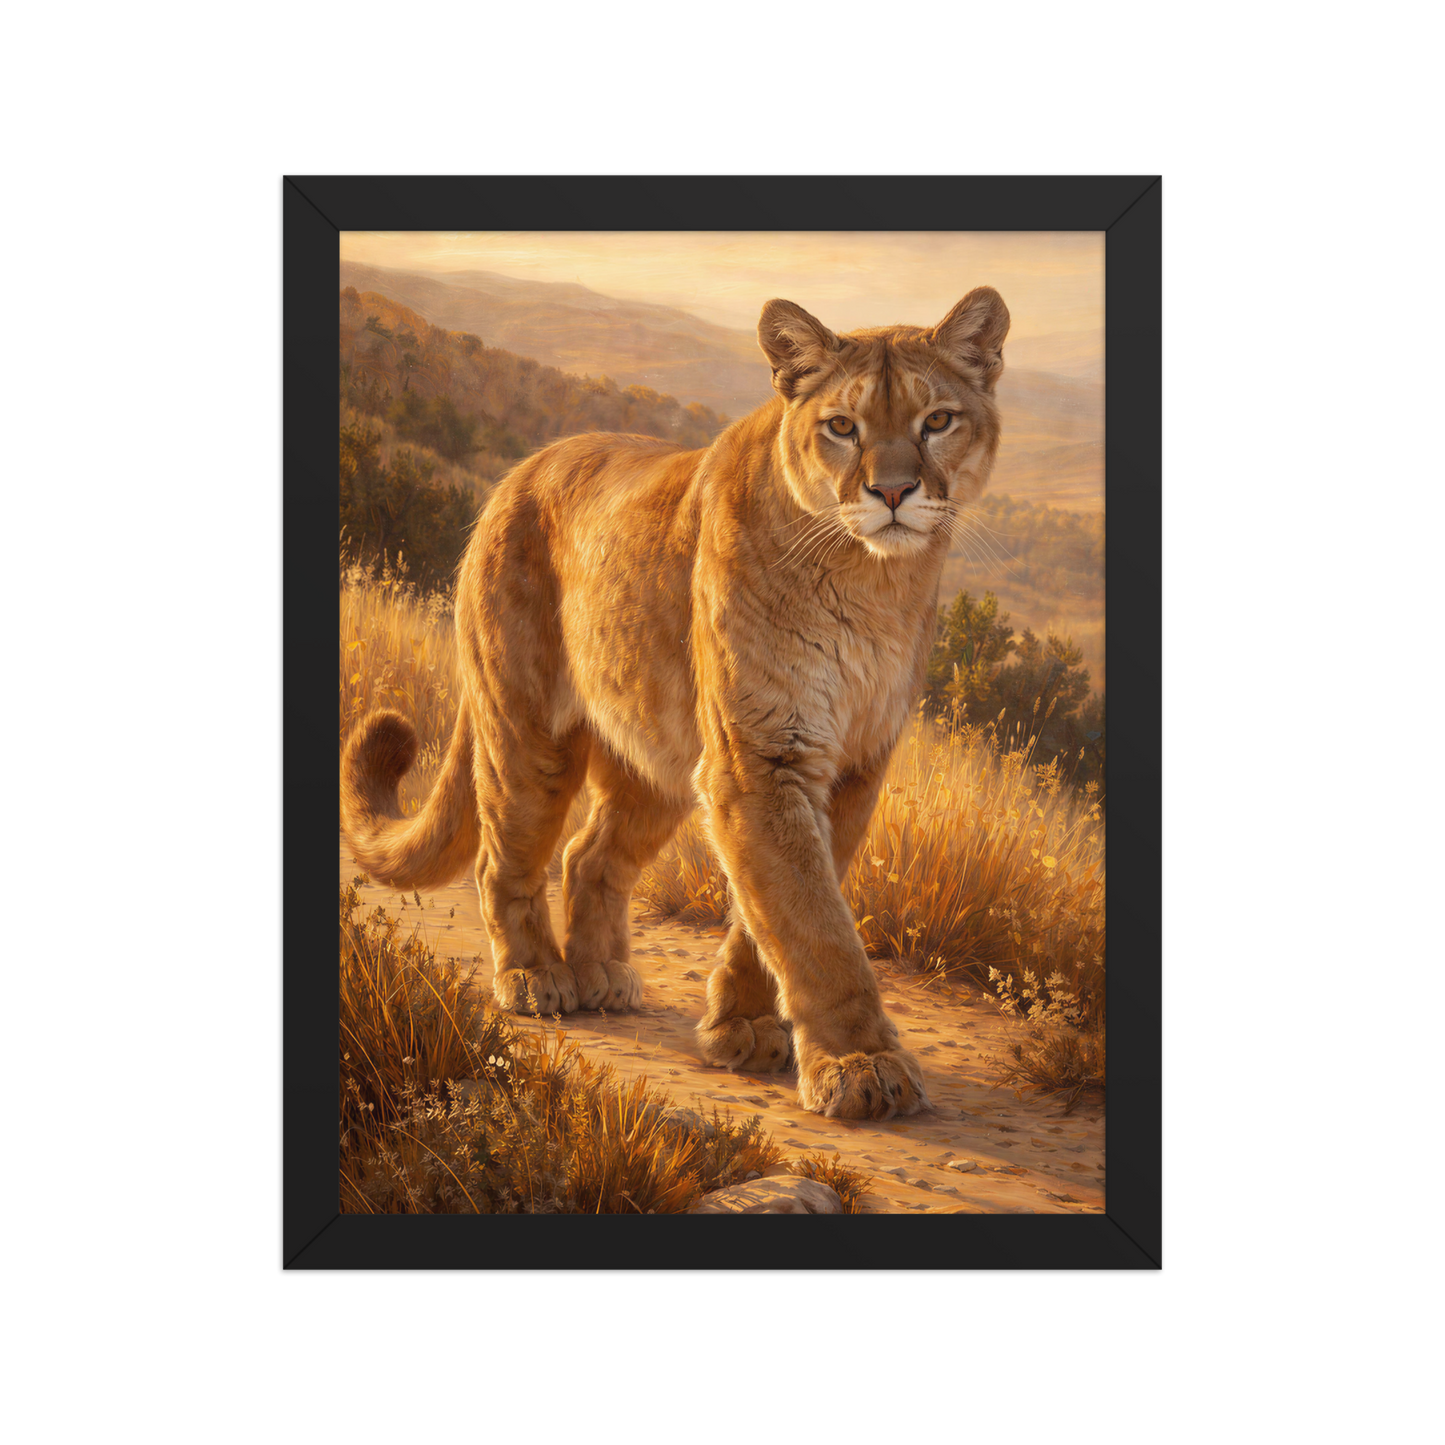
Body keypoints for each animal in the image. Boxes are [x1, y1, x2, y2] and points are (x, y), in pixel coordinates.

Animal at [341, 286, 1010, 1120]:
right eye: (841, 426)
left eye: (937, 420)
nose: (891, 491)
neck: (873, 581)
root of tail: (518, 471)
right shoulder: (761, 756)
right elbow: (813, 924)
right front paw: (862, 1065)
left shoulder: (849, 765)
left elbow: (777, 910)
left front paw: (744, 1028)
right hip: (529, 731)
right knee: (508, 855)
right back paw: (534, 977)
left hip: (654, 756)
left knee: (590, 854)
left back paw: (602, 976)